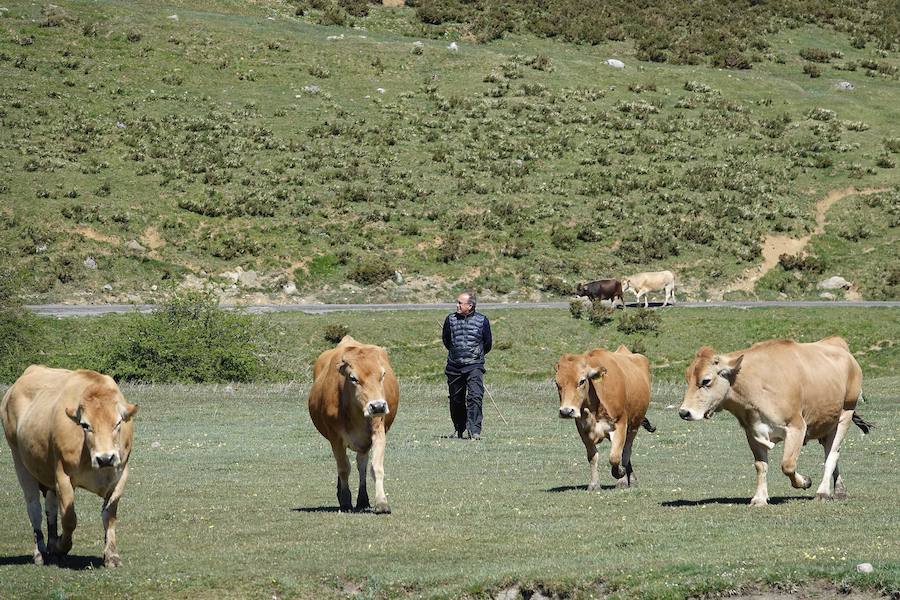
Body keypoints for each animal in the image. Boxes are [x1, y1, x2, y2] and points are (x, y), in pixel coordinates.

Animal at [0, 366, 138, 568]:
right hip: (20, 462)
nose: (105, 458)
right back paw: (40, 552)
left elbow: (110, 516)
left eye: (118, 423)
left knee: (50, 508)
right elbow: (69, 519)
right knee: (34, 509)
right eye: (85, 425)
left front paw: (111, 555)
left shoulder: (120, 476)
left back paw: (51, 544)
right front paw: (61, 546)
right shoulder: (62, 476)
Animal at [308, 336, 400, 512]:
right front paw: (345, 500)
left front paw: (382, 502)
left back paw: (363, 499)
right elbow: (343, 468)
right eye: (353, 378)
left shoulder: (378, 431)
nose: (377, 406)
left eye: (383, 374)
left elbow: (376, 467)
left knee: (361, 465)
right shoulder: (335, 437)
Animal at [556, 344, 652, 490]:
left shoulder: (620, 424)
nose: (566, 411)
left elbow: (615, 457)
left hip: (634, 425)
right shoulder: (583, 431)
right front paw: (594, 484)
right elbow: (592, 457)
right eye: (557, 384)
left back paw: (626, 478)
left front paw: (620, 474)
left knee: (626, 451)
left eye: (582, 381)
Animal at [684, 338, 872, 506]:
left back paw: (823, 492)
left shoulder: (797, 427)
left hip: (845, 415)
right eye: (687, 379)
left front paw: (805, 481)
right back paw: (840, 490)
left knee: (832, 455)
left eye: (706, 381)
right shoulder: (753, 432)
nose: (684, 412)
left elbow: (787, 465)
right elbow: (760, 465)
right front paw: (759, 498)